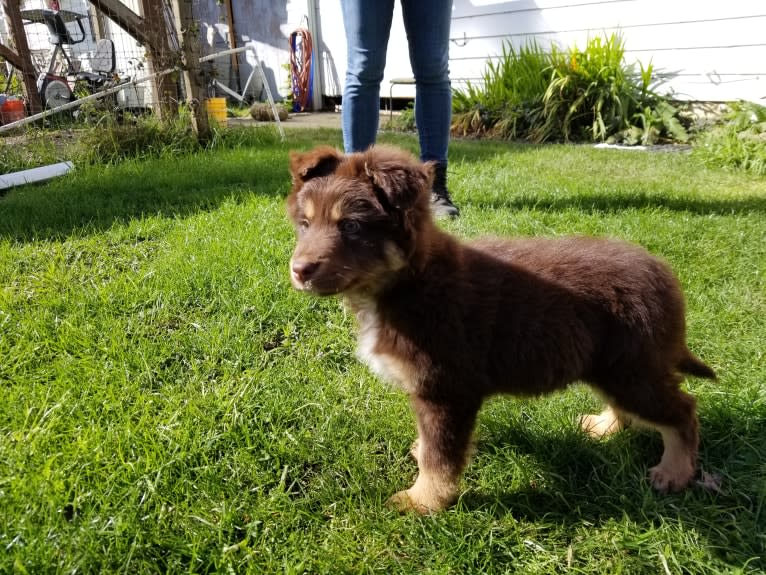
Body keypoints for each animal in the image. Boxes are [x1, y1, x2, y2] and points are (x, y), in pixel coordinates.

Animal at [284, 146, 716, 516]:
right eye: (304, 224)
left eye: (352, 226)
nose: (299, 270)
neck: (407, 281)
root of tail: (662, 274)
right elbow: (431, 446)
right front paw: (421, 461)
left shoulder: (447, 390)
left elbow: (441, 457)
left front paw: (422, 501)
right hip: (610, 365)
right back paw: (605, 426)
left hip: (630, 367)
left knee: (682, 410)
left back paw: (674, 472)